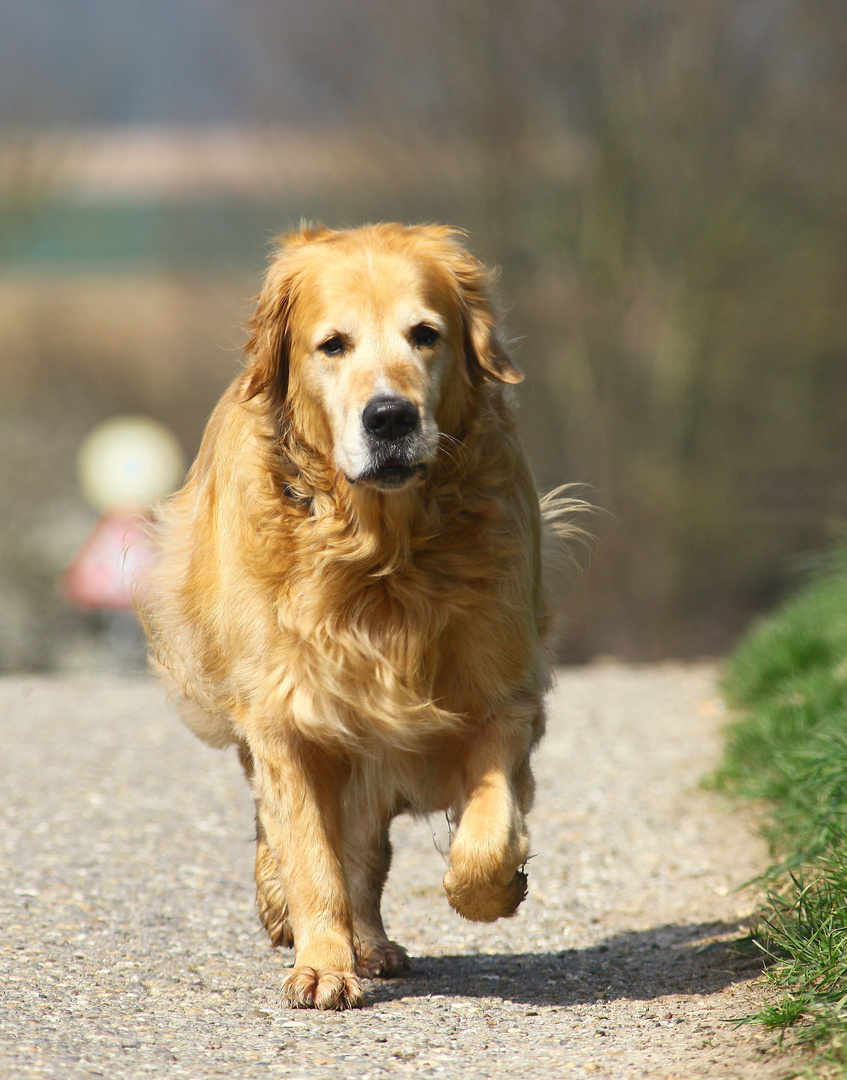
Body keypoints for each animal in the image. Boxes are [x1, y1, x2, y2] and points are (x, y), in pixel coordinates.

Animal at [143, 223, 583, 1006]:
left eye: (426, 334)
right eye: (333, 345)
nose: (390, 416)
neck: (382, 555)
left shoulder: (498, 697)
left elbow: (485, 833)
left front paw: (493, 888)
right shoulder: (287, 713)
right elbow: (308, 851)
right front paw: (320, 961)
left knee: (366, 849)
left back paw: (371, 943)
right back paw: (288, 911)